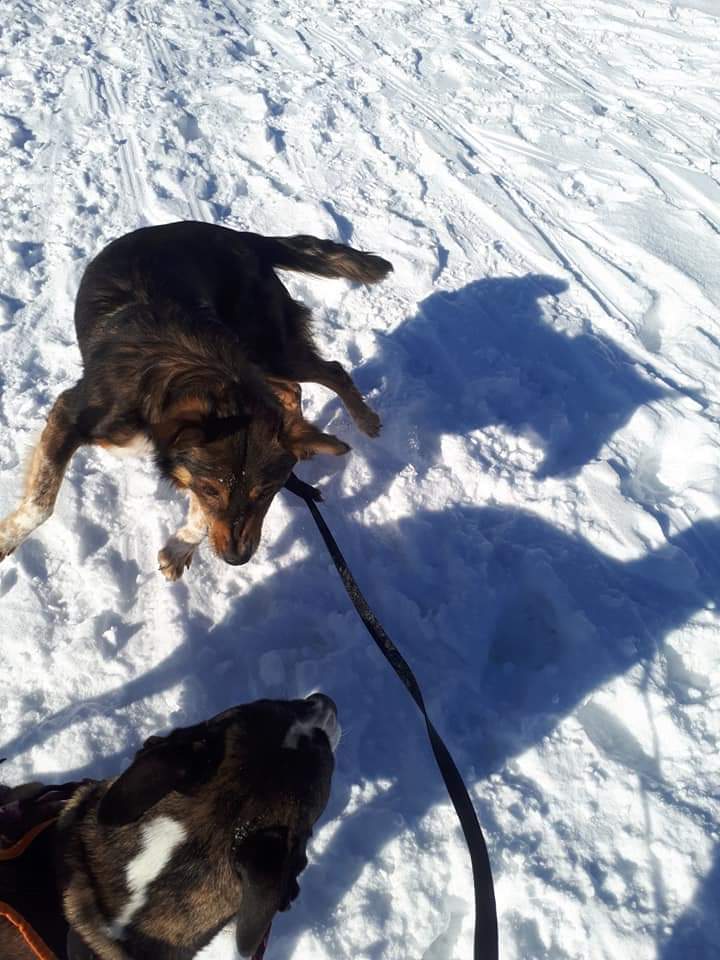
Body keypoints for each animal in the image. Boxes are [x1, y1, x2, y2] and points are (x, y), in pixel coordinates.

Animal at [0, 223, 394, 576]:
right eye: (210, 488)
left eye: (267, 491)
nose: (237, 559)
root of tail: (241, 236)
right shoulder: (69, 415)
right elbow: (41, 504)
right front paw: (6, 539)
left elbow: (201, 515)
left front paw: (181, 546)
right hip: (264, 354)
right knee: (304, 381)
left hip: (268, 347)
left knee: (331, 371)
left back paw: (363, 420)